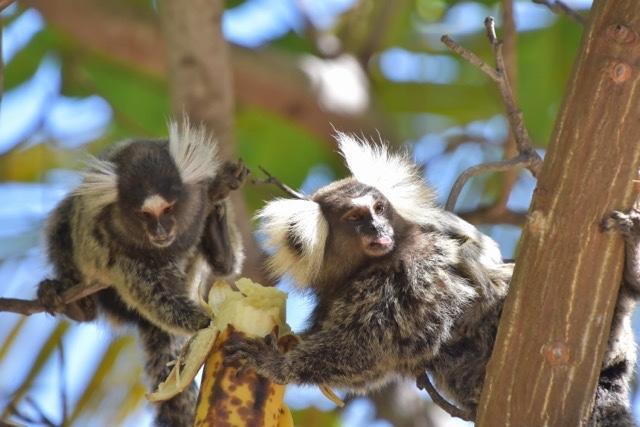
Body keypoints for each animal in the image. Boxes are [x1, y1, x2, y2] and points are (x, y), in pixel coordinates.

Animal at [37, 120, 246, 427]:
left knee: (220, 264)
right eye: (144, 215)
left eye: (169, 208)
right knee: (62, 219)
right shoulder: (115, 247)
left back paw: (218, 243)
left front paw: (217, 218)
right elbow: (153, 294)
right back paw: (74, 303)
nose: (160, 231)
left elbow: (228, 265)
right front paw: (205, 320)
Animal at [228, 135, 636, 427]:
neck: (358, 271)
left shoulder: (408, 272)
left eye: (378, 209)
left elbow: (367, 347)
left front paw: (274, 364)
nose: (379, 230)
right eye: (355, 218)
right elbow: (369, 368)